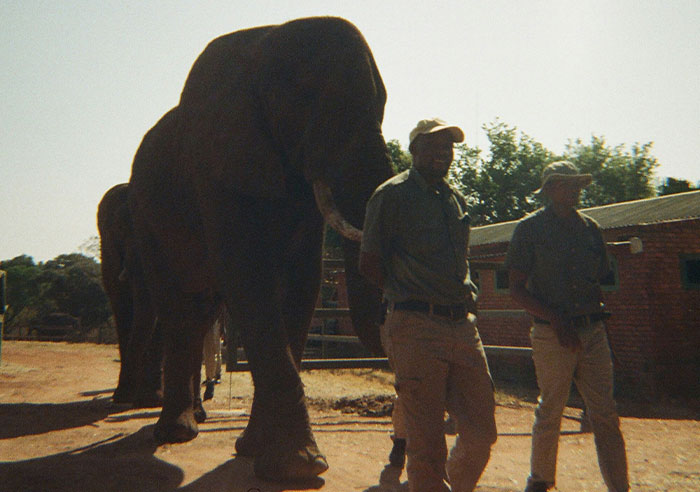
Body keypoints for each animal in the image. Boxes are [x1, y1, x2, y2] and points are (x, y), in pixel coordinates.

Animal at [127, 17, 393, 481]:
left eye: (382, 105)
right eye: (308, 102)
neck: (266, 44)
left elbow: (300, 285)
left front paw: (255, 452)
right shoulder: (215, 164)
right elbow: (249, 277)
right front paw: (299, 468)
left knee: (200, 312)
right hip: (147, 218)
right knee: (177, 309)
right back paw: (175, 434)